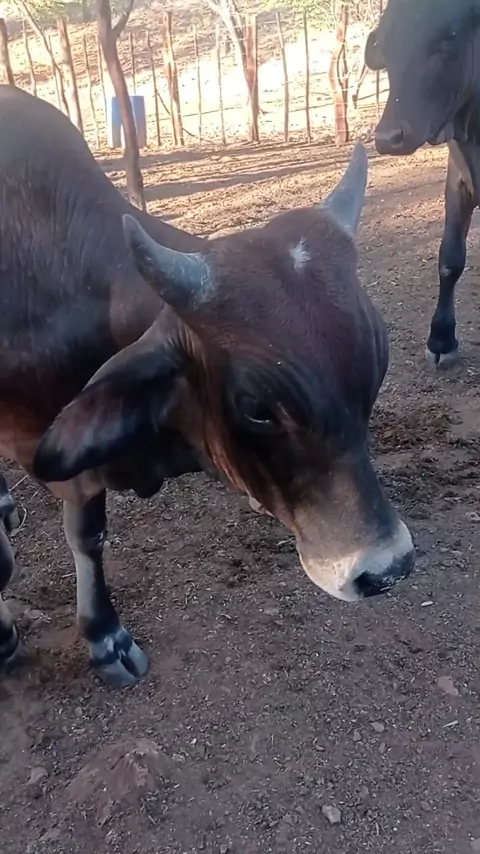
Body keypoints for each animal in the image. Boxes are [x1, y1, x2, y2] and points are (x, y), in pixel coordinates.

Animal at [364, 0, 480, 367]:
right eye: (386, 46)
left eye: (449, 37)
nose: (388, 137)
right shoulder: (458, 180)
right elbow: (450, 259)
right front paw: (441, 338)